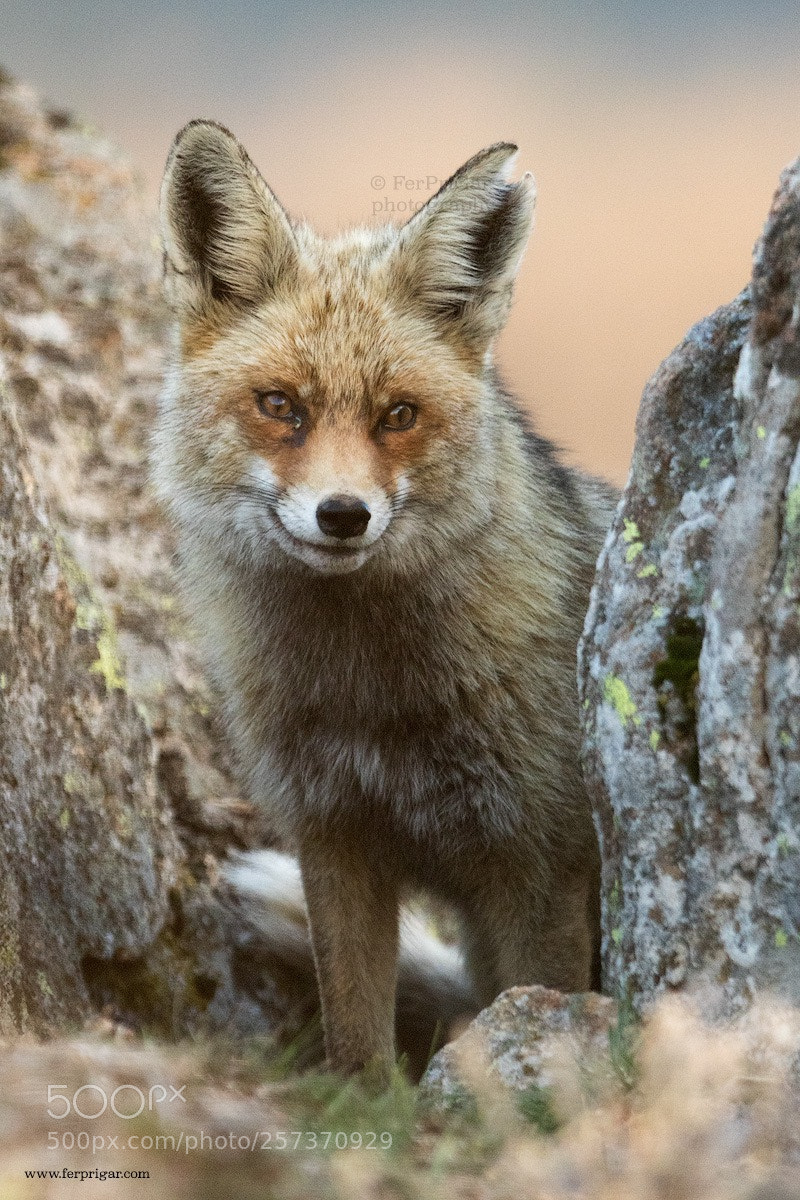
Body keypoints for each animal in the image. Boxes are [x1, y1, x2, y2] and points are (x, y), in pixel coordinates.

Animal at [153, 120, 618, 1083]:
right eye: (280, 405)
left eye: (397, 415)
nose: (342, 514)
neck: (372, 695)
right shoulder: (335, 838)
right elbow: (357, 1043)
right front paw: (367, 1110)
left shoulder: (540, 862)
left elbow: (544, 1005)